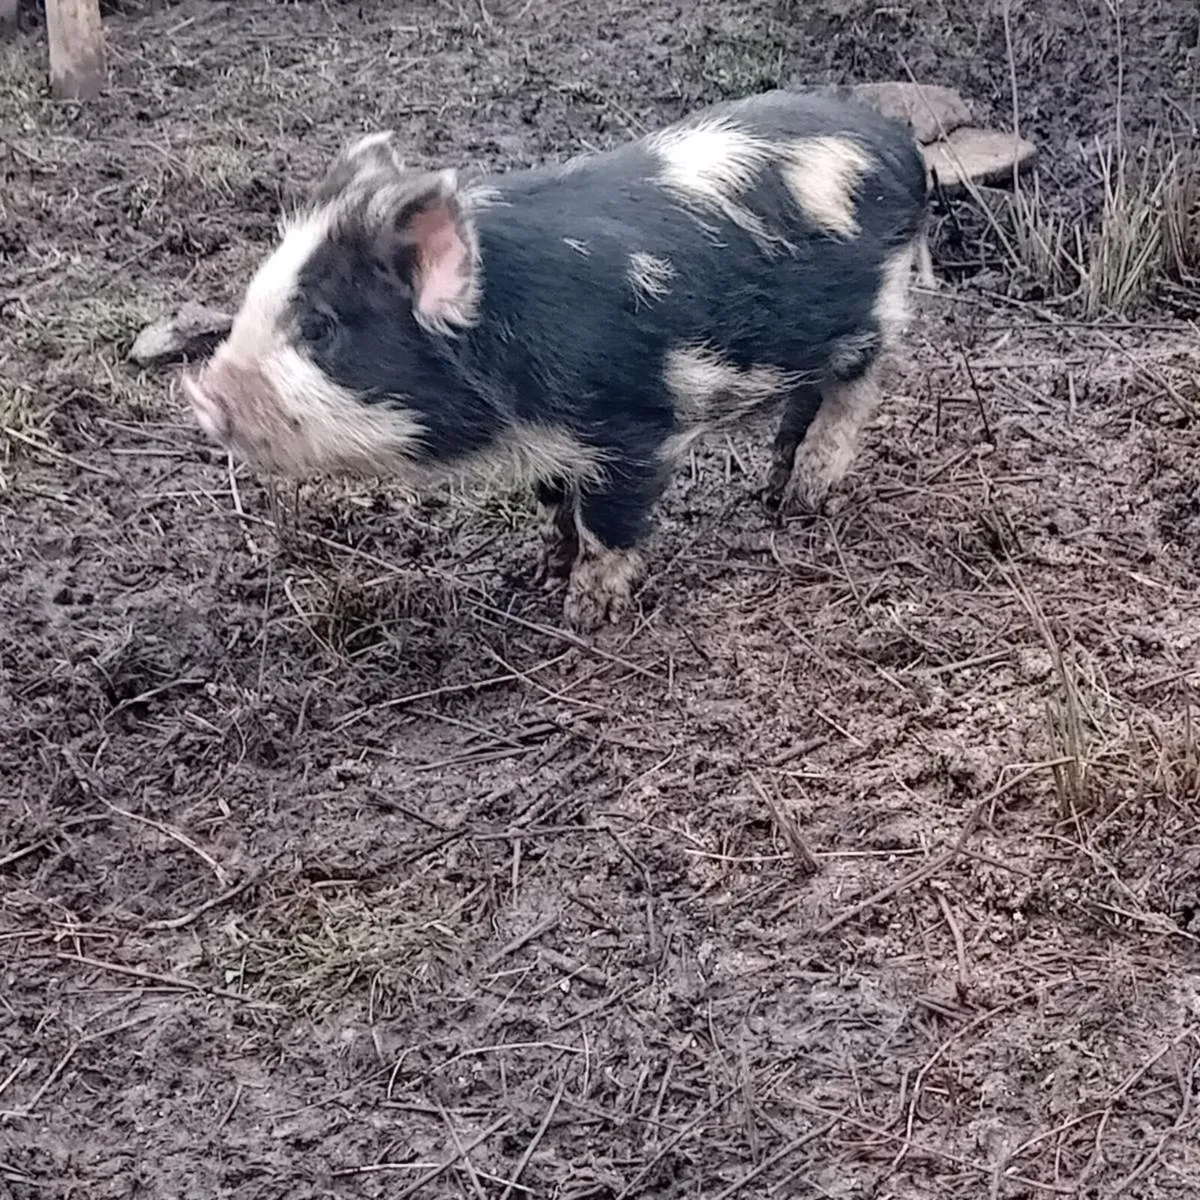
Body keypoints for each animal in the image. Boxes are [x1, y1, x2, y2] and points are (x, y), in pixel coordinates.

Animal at [184, 89, 929, 632]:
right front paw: (541, 573)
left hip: (874, 316)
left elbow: (607, 521)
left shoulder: (633, 423)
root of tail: (901, 148)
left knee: (856, 388)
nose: (202, 395)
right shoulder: (552, 442)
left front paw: (584, 615)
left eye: (320, 327)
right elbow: (554, 502)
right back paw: (771, 489)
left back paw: (807, 494)